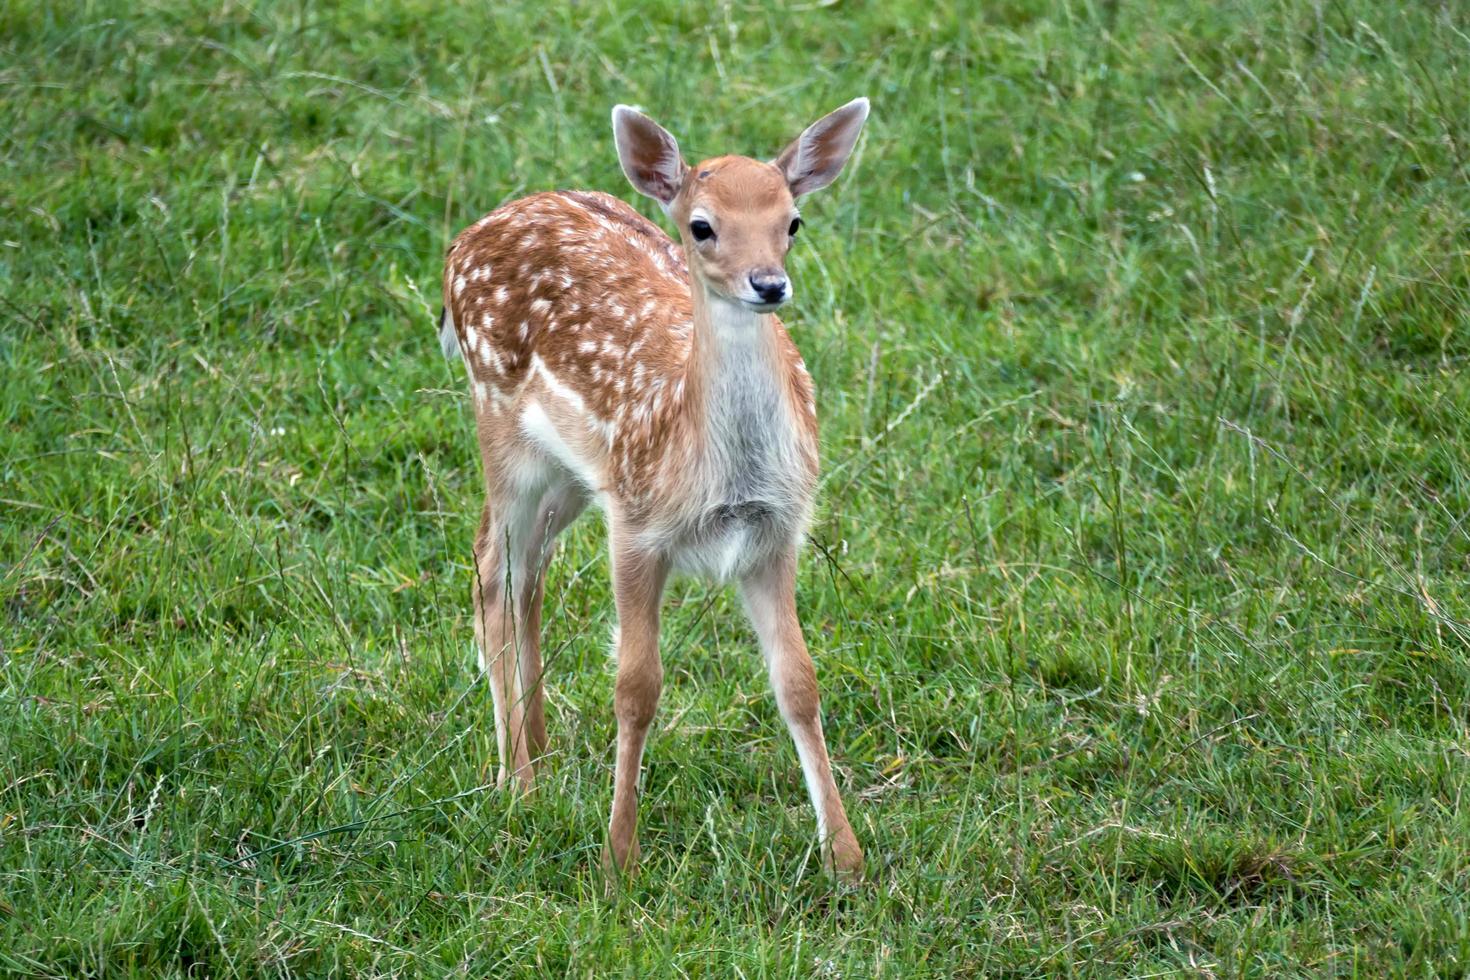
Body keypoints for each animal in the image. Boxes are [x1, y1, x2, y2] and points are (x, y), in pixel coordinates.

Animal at [441, 97, 864, 881]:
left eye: (792, 221)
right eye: (702, 226)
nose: (769, 284)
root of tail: (464, 241)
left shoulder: (776, 531)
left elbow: (799, 682)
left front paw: (847, 858)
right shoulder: (638, 527)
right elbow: (636, 688)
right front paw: (619, 859)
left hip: (575, 474)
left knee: (529, 572)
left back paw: (541, 749)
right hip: (500, 422)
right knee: (492, 568)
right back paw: (516, 781)